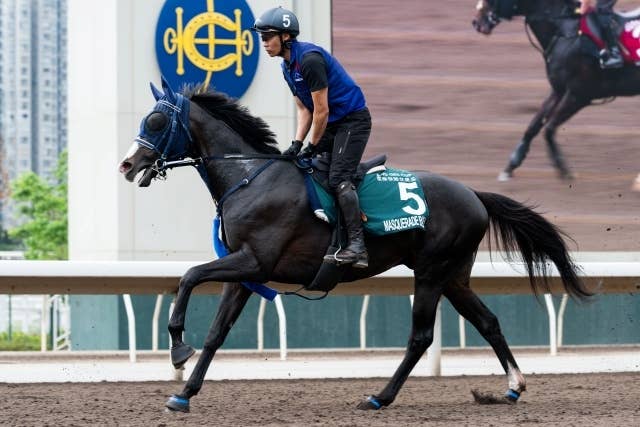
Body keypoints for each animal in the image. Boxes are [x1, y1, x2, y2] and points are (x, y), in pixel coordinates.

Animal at [118, 78, 592, 413]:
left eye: (155, 122)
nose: (127, 164)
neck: (250, 176)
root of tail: (474, 194)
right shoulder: (244, 271)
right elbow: (217, 332)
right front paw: (184, 392)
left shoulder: (253, 261)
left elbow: (189, 275)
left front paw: (178, 348)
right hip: (454, 275)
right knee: (488, 321)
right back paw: (513, 387)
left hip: (432, 271)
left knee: (421, 337)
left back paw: (380, 396)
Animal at [473, 0, 640, 183]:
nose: (476, 22)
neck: (565, 30)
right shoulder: (558, 90)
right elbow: (533, 126)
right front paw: (510, 166)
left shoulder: (579, 95)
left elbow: (549, 129)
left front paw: (564, 169)